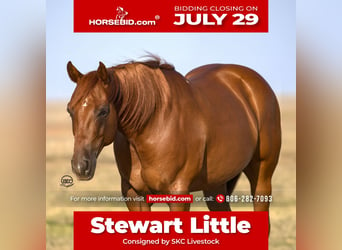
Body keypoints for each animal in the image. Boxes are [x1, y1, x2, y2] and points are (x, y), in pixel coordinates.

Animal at [66, 57, 280, 214]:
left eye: (103, 111)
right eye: (70, 110)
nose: (80, 166)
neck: (152, 126)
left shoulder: (178, 195)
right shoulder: (135, 196)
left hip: (262, 177)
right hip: (215, 184)